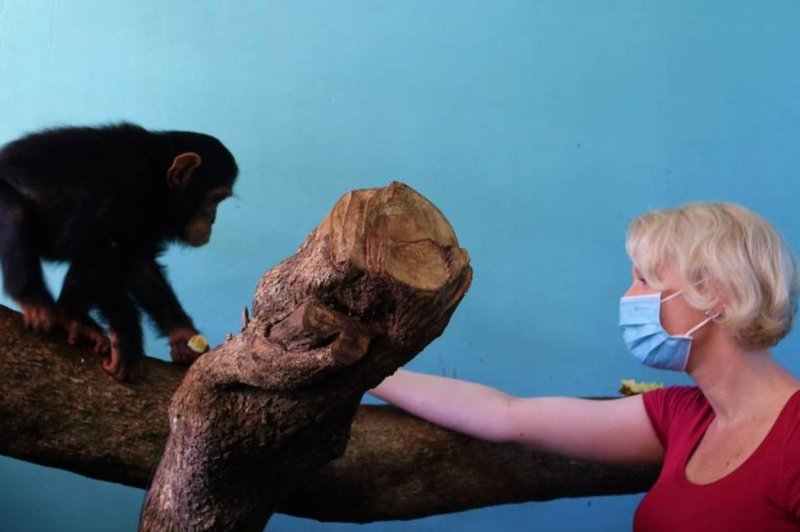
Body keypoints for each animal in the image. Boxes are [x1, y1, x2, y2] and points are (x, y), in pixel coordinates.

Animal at [0, 123, 239, 382]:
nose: (212, 219)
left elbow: (139, 268)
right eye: (215, 199)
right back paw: (34, 300)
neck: (156, 183)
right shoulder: (120, 194)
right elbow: (102, 257)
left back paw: (73, 316)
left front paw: (182, 335)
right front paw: (128, 341)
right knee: (16, 212)